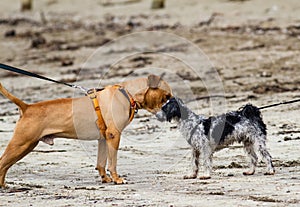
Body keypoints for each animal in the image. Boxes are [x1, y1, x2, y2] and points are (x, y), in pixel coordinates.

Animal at [0, 75, 172, 188]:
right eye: (167, 96)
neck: (128, 94)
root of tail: (27, 107)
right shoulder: (114, 135)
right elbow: (113, 163)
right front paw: (117, 179)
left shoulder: (103, 139)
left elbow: (101, 162)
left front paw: (105, 179)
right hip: (21, 145)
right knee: (2, 163)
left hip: (26, 146)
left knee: (4, 166)